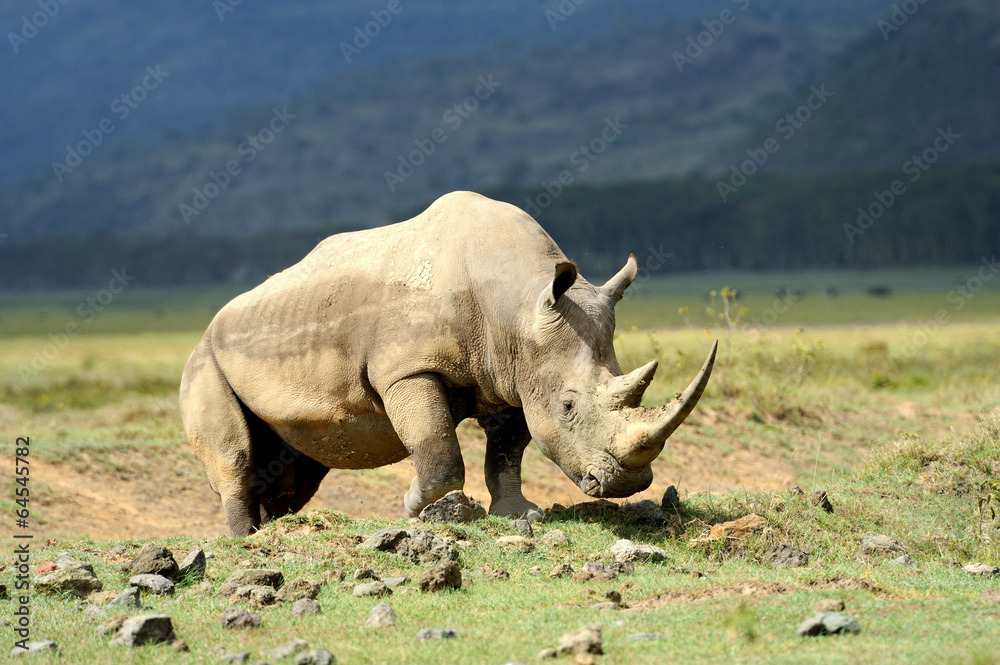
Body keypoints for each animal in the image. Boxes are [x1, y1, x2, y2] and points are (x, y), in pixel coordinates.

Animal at [180, 191, 716, 536]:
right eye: (567, 408)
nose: (626, 484)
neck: (519, 304)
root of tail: (211, 324)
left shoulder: (513, 376)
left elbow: (507, 452)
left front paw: (520, 515)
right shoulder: (408, 370)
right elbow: (437, 447)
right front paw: (420, 507)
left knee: (297, 467)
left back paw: (275, 528)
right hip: (204, 359)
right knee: (238, 454)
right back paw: (246, 541)